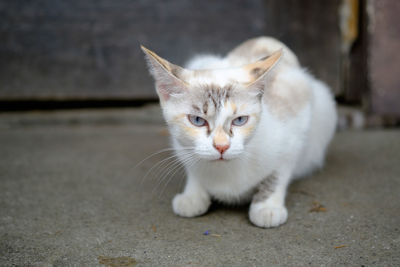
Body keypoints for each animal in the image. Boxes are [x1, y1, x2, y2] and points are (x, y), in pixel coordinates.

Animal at [142, 36, 336, 228]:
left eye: (240, 120)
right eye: (197, 120)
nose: (222, 146)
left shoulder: (294, 130)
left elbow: (278, 173)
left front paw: (266, 207)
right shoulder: (181, 146)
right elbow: (193, 168)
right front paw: (193, 194)